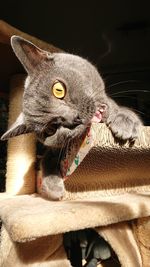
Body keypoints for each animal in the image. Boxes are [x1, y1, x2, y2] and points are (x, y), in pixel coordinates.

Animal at [0, 35, 142, 201]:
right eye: (51, 129)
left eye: (58, 90)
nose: (74, 119)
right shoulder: (56, 149)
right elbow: (47, 160)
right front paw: (54, 190)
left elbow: (116, 108)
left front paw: (124, 123)